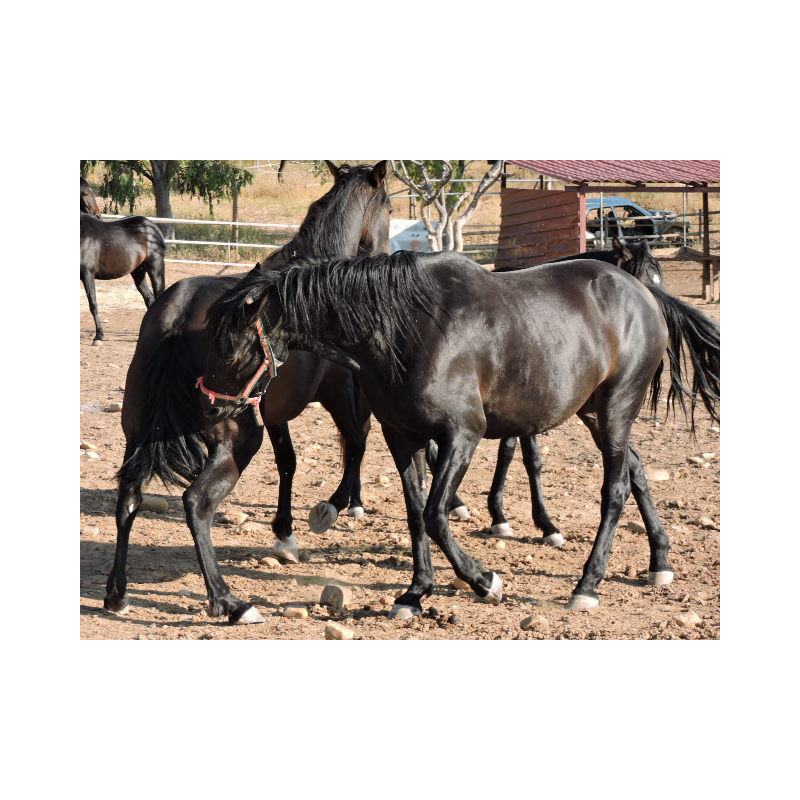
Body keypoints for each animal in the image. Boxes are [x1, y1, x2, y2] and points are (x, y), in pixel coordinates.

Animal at [80, 213, 167, 343]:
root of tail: (153, 227)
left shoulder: (88, 274)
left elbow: (93, 304)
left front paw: (99, 335)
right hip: (138, 272)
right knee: (149, 298)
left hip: (155, 267)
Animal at [104, 161, 391, 624]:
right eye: (389, 208)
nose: (384, 249)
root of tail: (175, 312)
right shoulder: (337, 390)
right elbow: (356, 444)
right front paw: (332, 507)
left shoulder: (274, 413)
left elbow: (289, 463)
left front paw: (285, 534)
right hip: (238, 442)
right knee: (197, 502)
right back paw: (228, 601)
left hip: (137, 434)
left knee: (129, 497)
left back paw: (117, 593)